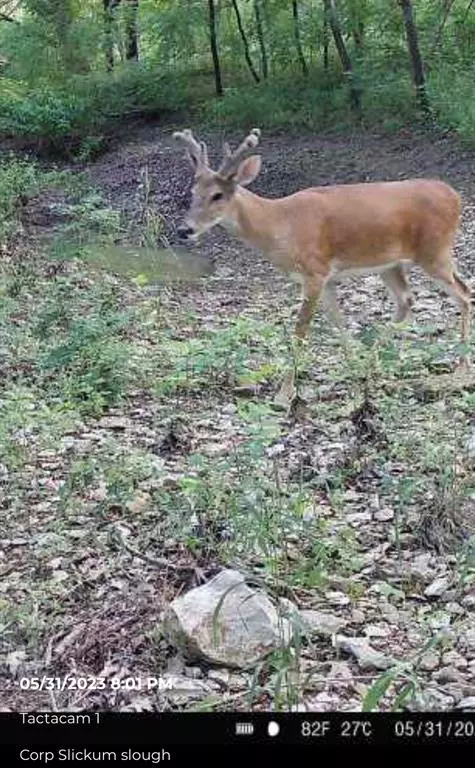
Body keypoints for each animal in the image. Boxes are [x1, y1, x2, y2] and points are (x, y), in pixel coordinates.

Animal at [172, 126, 472, 408]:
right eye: (193, 192)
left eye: (217, 195)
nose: (184, 230)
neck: (279, 225)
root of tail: (455, 195)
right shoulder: (328, 277)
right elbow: (338, 322)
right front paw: (353, 370)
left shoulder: (314, 271)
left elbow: (300, 332)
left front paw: (283, 394)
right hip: (391, 263)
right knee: (407, 300)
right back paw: (372, 364)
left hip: (435, 251)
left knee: (464, 294)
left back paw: (462, 368)